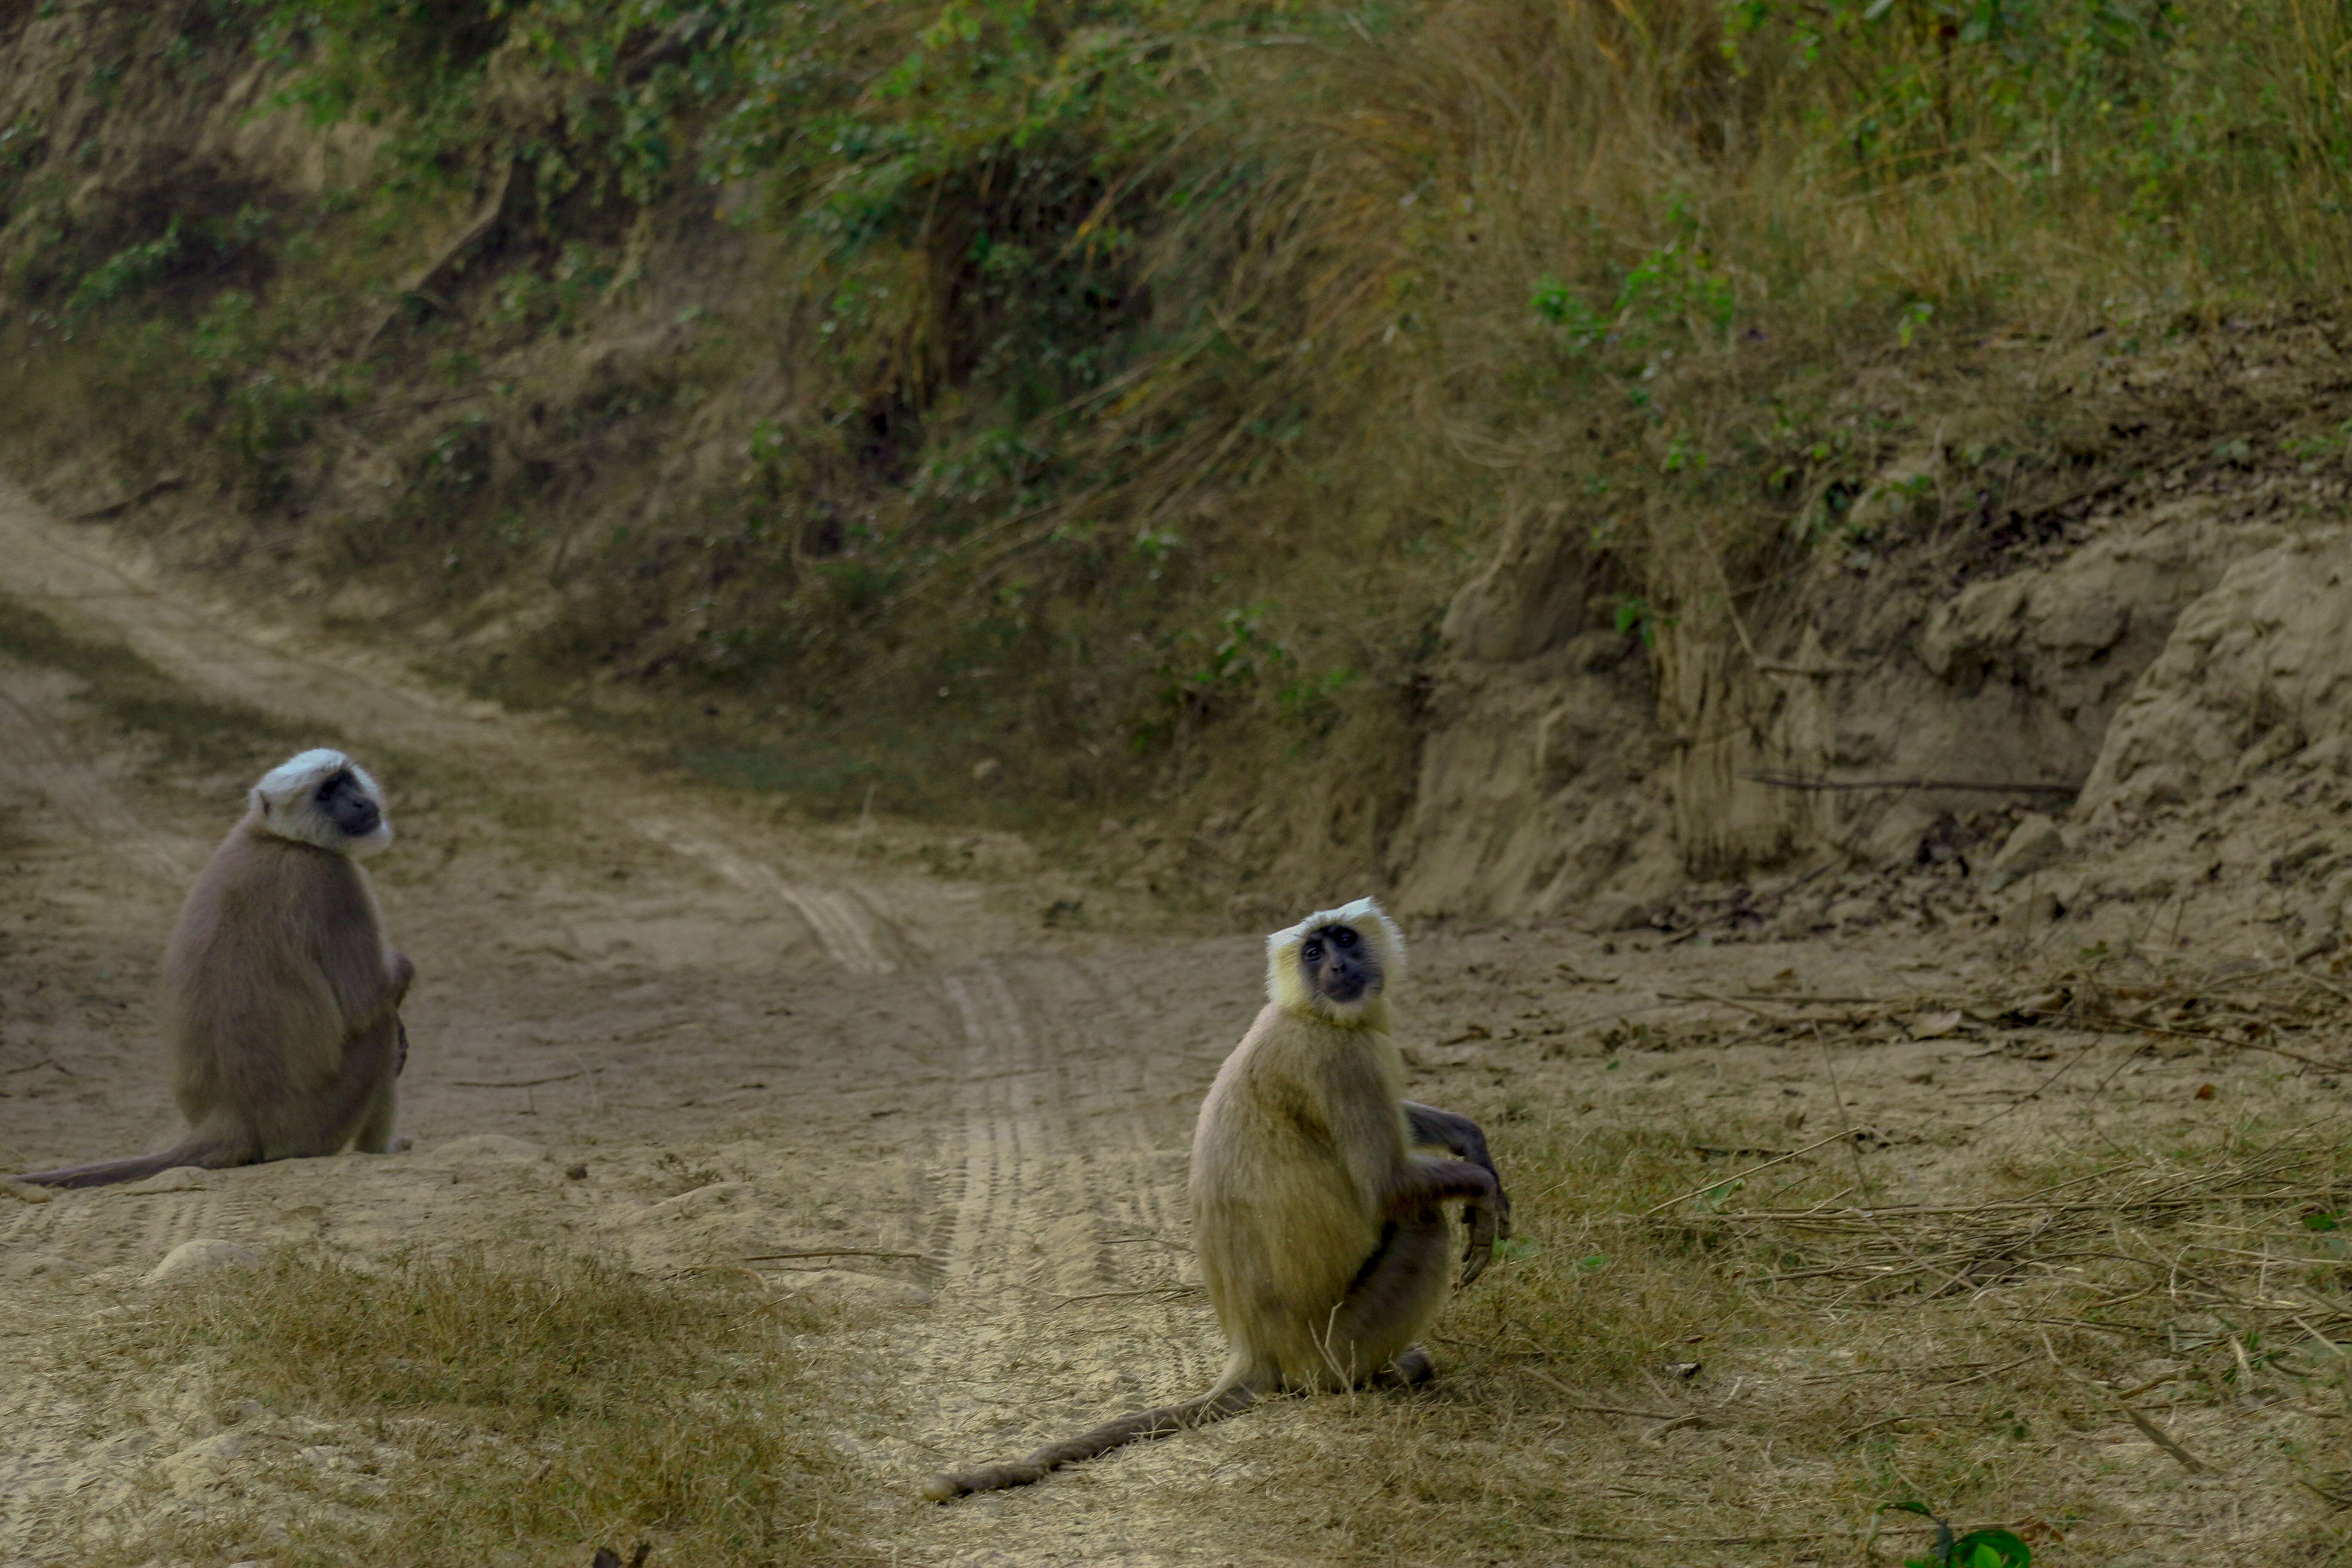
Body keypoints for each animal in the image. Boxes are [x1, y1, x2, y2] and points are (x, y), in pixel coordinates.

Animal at [14, 752, 416, 1189]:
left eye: (344, 780)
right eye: (325, 794)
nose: (359, 803)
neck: (276, 838)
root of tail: (230, 1116)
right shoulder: (332, 879)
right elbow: (367, 1002)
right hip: (319, 1124)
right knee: (378, 1029)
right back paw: (380, 1149)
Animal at [917, 893, 1505, 1495]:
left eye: (1343, 941)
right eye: (1313, 953)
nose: (1338, 967)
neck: (1306, 1013)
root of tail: (1255, 1350)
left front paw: (1470, 1140)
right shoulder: (1340, 1059)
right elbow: (1385, 1185)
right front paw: (1484, 1192)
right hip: (1335, 1346)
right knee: (1421, 1219)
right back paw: (1382, 1373)